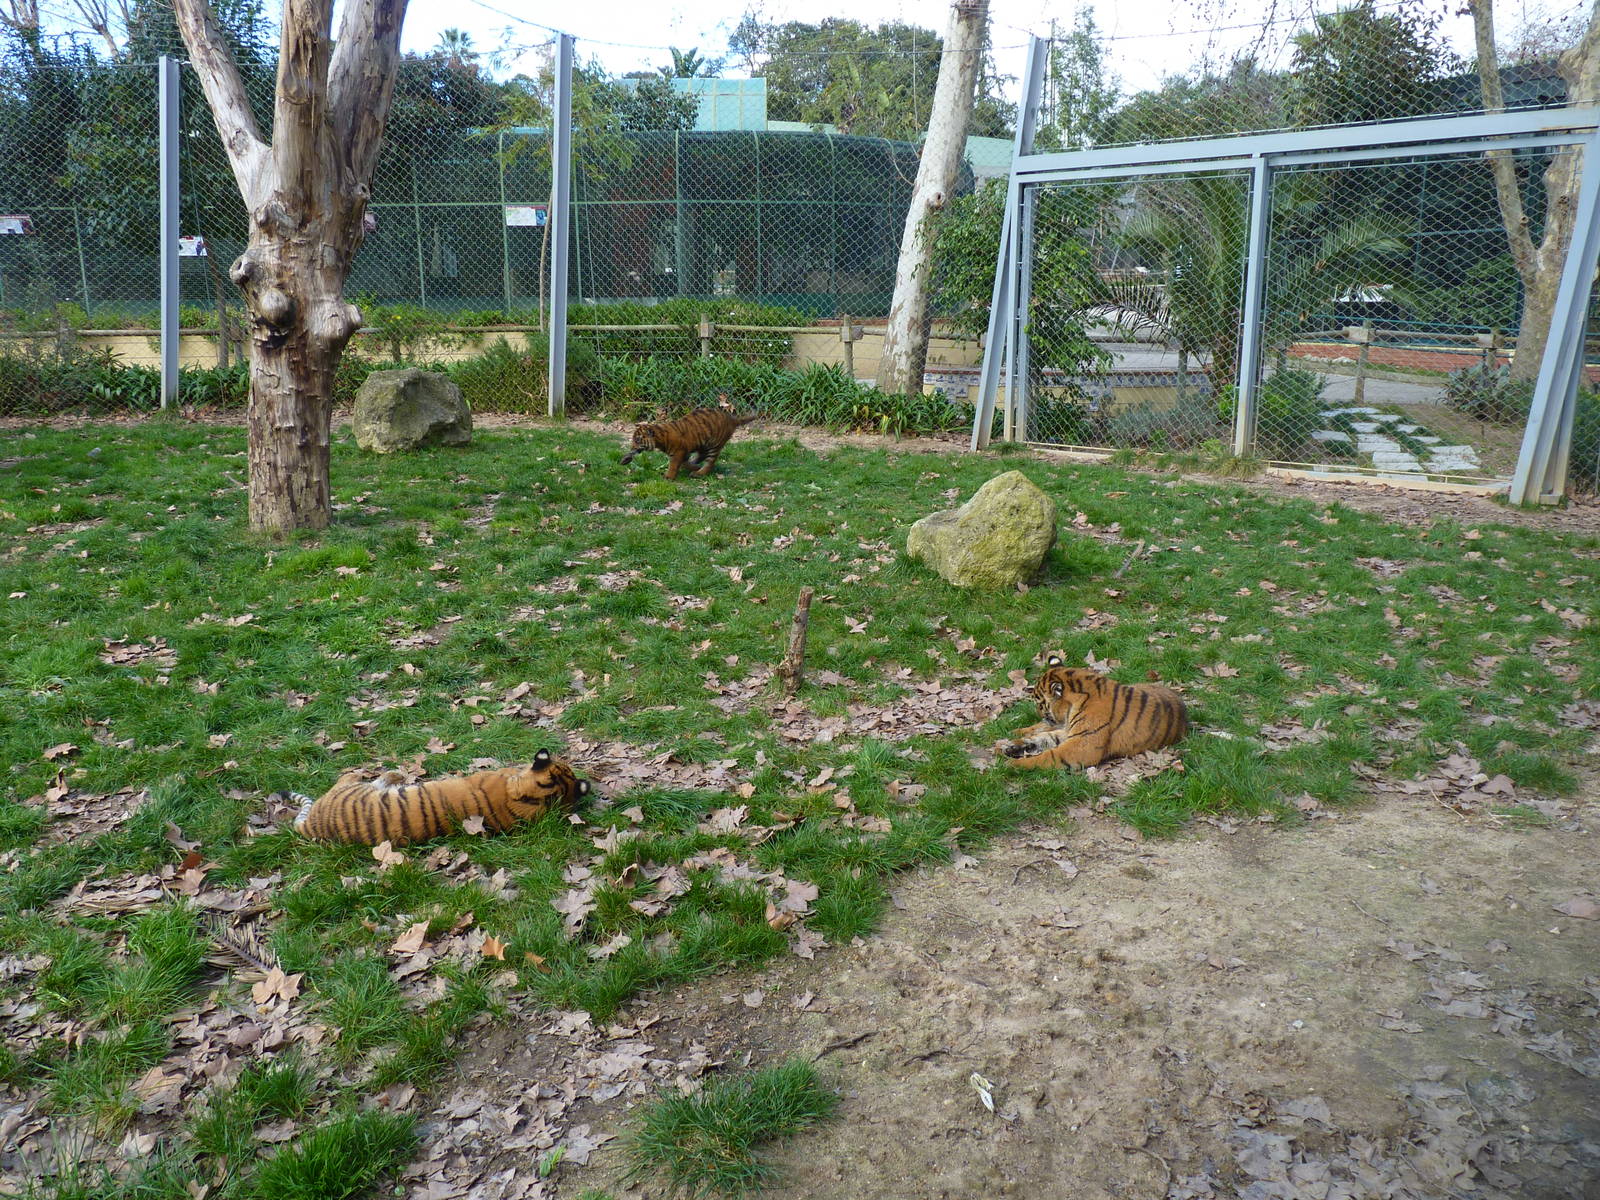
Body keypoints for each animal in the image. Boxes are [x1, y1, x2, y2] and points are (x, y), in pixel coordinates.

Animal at [620, 407, 759, 479]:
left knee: (710, 462)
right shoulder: (684, 452)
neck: (660, 439)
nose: (631, 447)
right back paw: (696, 466)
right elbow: (684, 463)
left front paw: (669, 476)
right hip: (703, 444)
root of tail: (732, 419)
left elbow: (675, 464)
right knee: (701, 456)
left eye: (637, 440)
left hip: (715, 445)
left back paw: (699, 473)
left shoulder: (679, 452)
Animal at [998, 657, 1188, 769]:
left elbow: (1046, 755)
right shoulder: (1072, 732)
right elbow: (1044, 738)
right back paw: (1015, 731)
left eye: (1039, 703)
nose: (1038, 713)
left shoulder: (1081, 746)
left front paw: (1011, 764)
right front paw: (1011, 746)